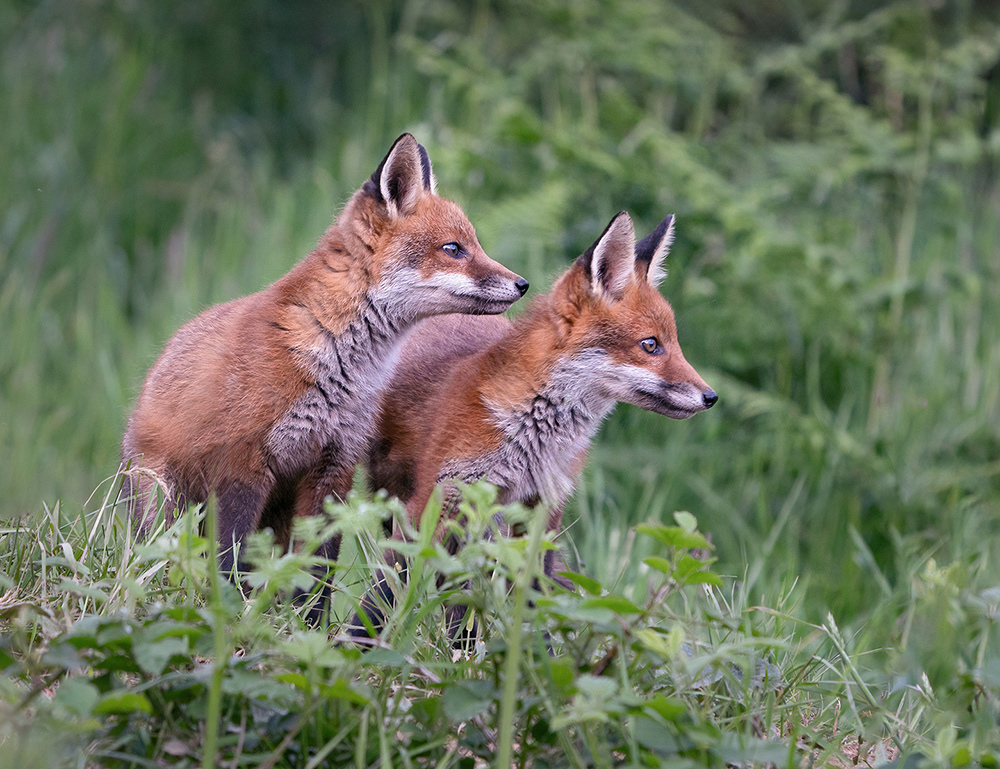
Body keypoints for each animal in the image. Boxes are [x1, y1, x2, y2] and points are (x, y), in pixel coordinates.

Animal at [120, 133, 529, 584]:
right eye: (454, 249)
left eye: (475, 245)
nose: (523, 284)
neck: (337, 365)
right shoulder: (241, 465)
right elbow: (228, 560)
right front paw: (225, 603)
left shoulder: (334, 467)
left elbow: (316, 575)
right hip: (164, 501)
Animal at [354, 210, 717, 635]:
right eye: (650, 345)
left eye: (674, 343)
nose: (711, 397)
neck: (530, 437)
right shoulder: (433, 502)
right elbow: (381, 594)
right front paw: (353, 642)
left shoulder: (542, 512)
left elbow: (534, 605)